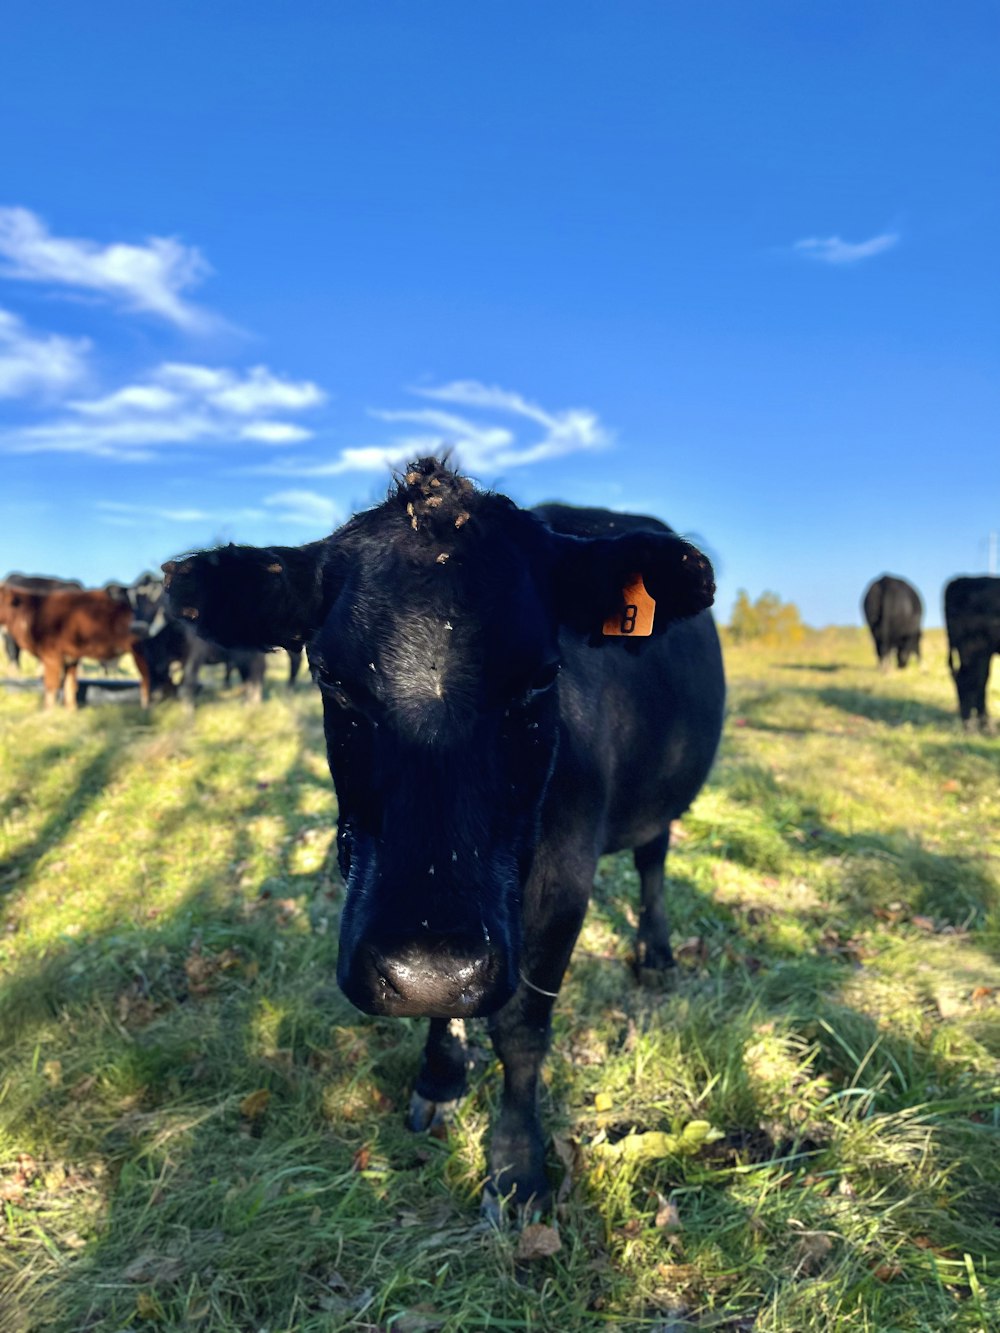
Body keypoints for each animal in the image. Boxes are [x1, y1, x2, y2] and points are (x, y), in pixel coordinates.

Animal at [0, 583, 150, 709]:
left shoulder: (51, 656)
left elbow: (51, 686)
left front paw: (47, 713)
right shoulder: (70, 658)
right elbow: (70, 686)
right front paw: (71, 711)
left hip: (141, 652)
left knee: (147, 680)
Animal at [166, 458, 730, 1221]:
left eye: (543, 677)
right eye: (331, 678)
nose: (430, 966)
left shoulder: (562, 883)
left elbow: (521, 1027)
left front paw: (516, 1166)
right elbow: (450, 1010)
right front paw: (440, 1076)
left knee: (653, 856)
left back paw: (657, 953)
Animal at [949, 575, 1000, 735]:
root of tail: (959, 580)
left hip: (981, 653)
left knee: (979, 681)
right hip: (972, 649)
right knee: (969, 680)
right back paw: (970, 726)